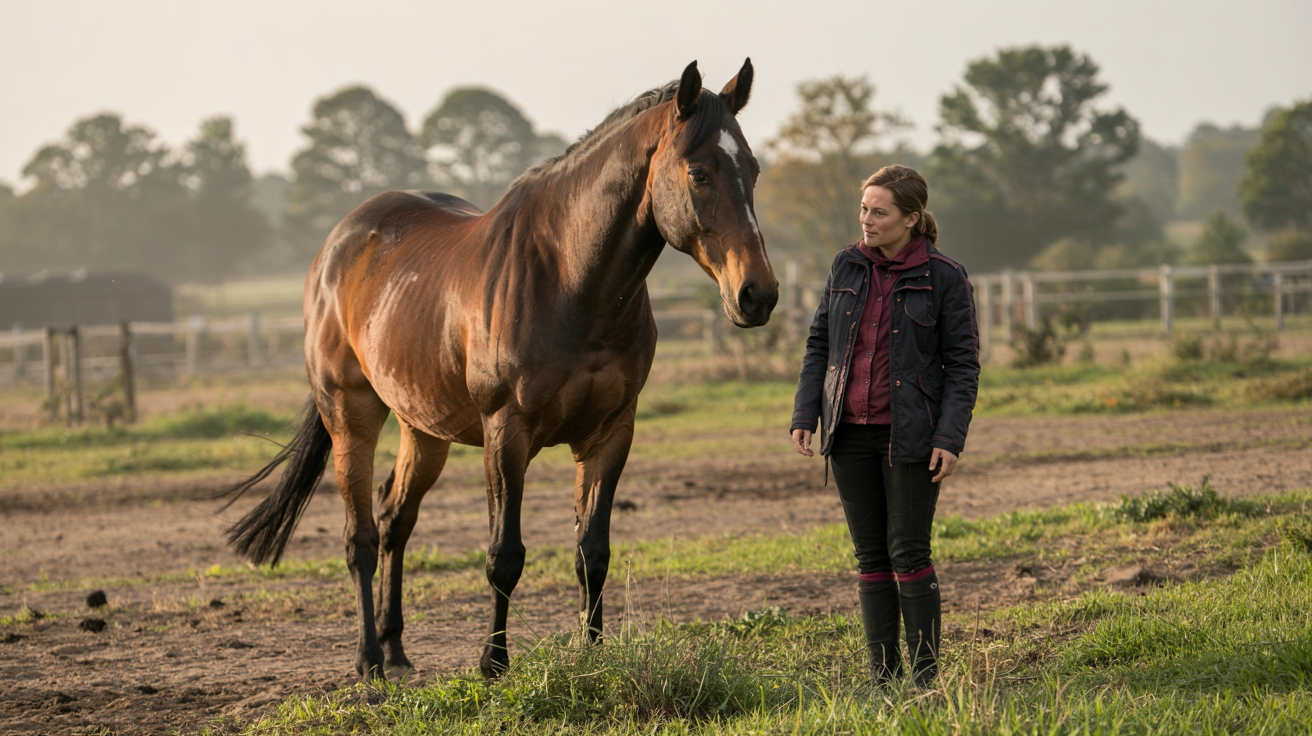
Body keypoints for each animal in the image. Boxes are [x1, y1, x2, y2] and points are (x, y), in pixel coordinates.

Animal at [212, 59, 777, 681]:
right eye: (699, 173)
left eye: (753, 169)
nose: (758, 295)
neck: (570, 280)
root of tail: (338, 245)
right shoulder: (506, 432)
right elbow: (504, 555)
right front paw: (493, 662)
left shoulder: (611, 434)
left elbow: (592, 553)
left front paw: (593, 654)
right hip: (350, 415)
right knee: (359, 535)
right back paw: (368, 660)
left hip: (422, 428)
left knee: (394, 519)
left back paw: (396, 649)